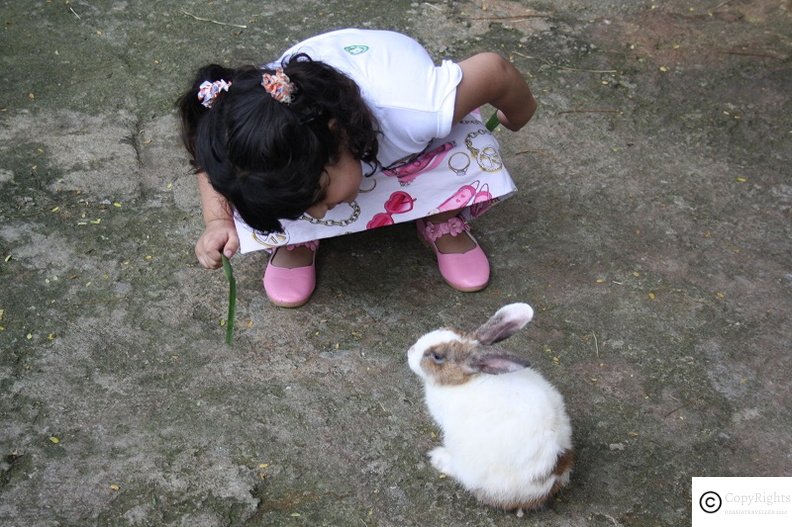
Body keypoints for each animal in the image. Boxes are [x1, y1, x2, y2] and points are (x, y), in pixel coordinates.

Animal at [408, 306, 568, 516]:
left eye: (437, 356)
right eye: (444, 328)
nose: (410, 352)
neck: (465, 380)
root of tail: (548, 478)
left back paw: (438, 459)